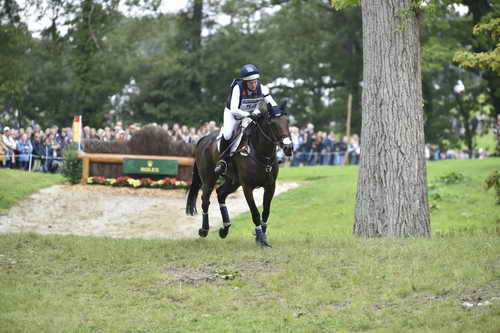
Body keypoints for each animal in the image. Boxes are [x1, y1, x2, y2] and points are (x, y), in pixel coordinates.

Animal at [186, 108, 292, 246]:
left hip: (233, 182)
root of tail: (202, 139)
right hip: (209, 179)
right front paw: (261, 239)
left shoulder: (270, 186)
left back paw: (225, 229)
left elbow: (265, 212)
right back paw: (204, 230)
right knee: (205, 200)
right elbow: (255, 213)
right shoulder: (247, 187)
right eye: (272, 123)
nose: (288, 147)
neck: (260, 153)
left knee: (220, 193)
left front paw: (262, 237)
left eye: (287, 122)